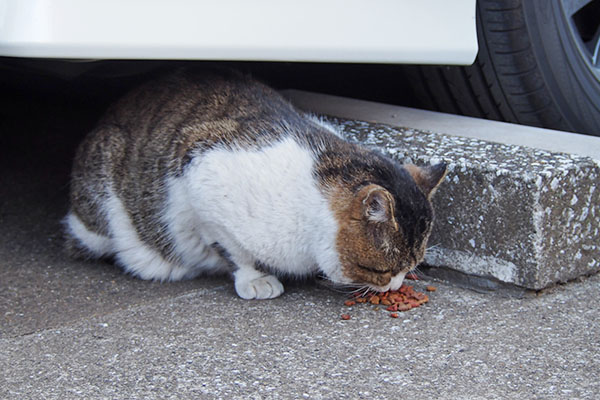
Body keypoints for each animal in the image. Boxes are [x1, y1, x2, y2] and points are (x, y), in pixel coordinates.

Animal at [64, 69, 446, 298]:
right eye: (380, 270)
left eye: (411, 267)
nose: (395, 285)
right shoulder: (200, 177)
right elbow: (232, 249)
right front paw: (255, 278)